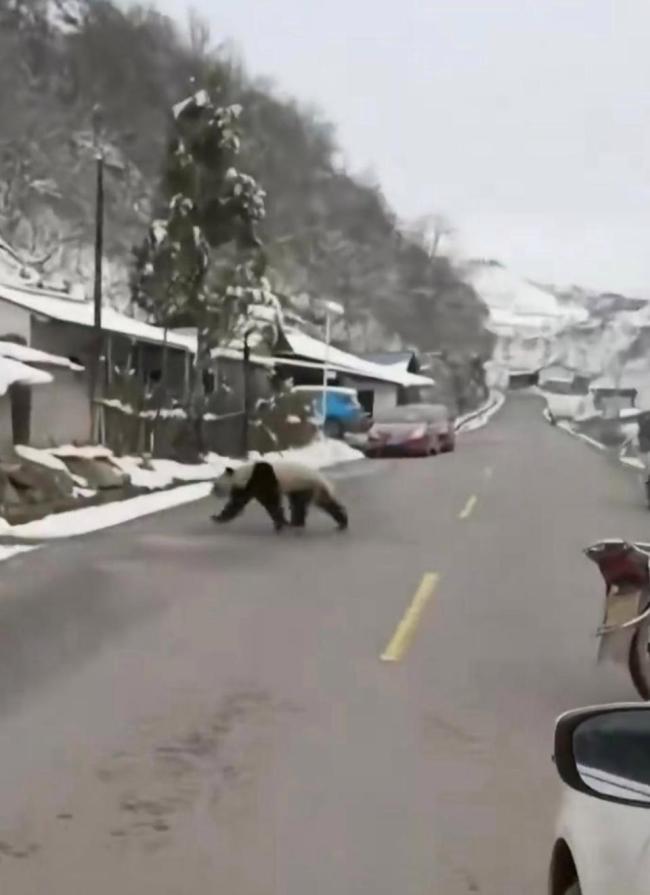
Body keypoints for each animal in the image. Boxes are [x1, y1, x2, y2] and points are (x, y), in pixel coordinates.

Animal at [210, 462, 346, 532]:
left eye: (216, 485)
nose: (212, 492)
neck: (243, 474)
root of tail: (320, 478)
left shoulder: (260, 479)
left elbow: (270, 502)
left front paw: (280, 524)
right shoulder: (247, 486)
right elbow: (237, 503)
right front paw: (218, 518)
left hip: (304, 483)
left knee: (302, 504)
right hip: (307, 487)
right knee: (319, 503)